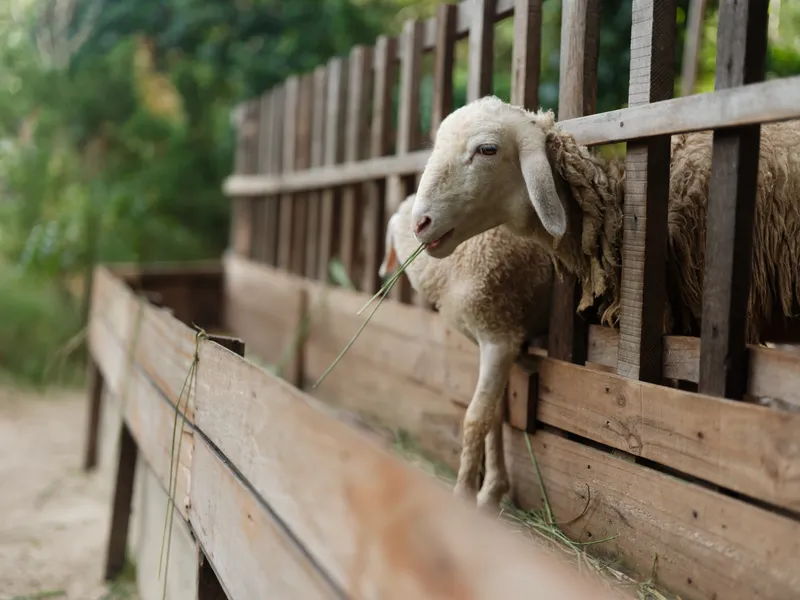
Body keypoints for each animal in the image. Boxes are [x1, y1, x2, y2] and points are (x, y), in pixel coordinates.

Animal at [379, 194, 553, 509]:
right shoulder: (486, 341)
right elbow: (494, 416)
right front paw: (492, 490)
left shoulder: (501, 335)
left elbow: (476, 417)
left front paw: (465, 493)